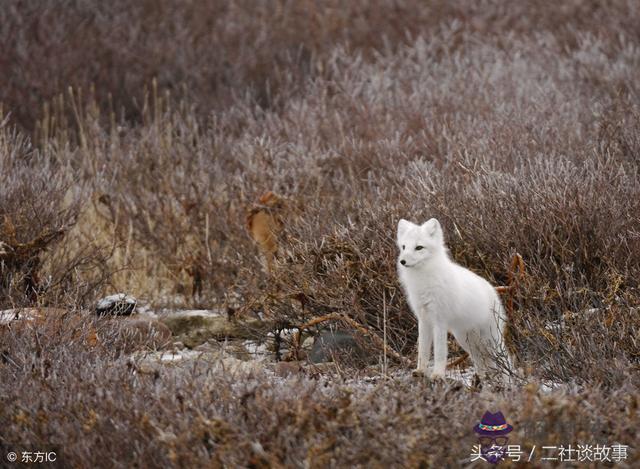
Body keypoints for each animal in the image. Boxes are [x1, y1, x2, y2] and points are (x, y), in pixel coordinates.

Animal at [396, 218, 510, 378]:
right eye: (404, 247)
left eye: (419, 247)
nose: (402, 261)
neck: (424, 278)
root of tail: (494, 292)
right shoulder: (423, 320)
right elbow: (422, 350)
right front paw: (420, 371)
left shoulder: (439, 321)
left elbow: (439, 352)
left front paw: (437, 375)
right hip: (466, 340)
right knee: (480, 361)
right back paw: (481, 377)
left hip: (491, 338)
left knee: (505, 358)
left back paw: (509, 379)